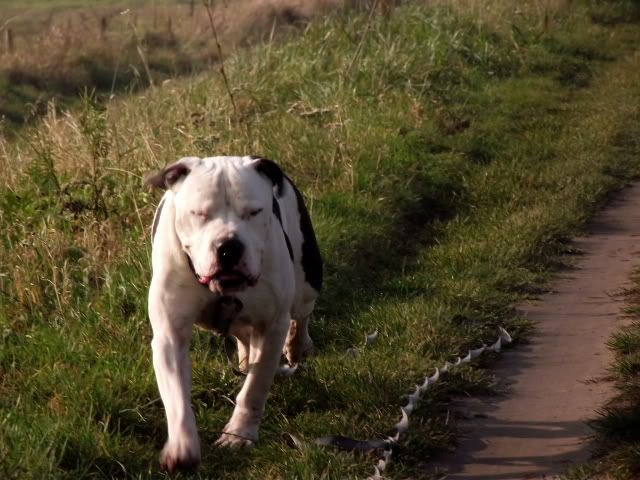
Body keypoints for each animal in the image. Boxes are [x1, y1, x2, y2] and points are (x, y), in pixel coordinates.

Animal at [144, 156, 322, 471]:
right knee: (242, 335)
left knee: (301, 314)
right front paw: (182, 446)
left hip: (307, 279)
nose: (228, 247)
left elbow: (255, 387)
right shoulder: (169, 335)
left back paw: (297, 345)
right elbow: (176, 396)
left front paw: (239, 435)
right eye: (199, 213)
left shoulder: (272, 326)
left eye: (254, 212)